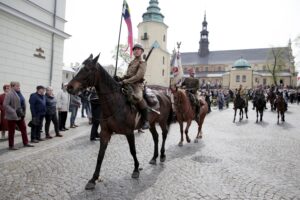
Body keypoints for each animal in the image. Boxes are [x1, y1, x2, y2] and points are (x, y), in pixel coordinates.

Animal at [67, 54, 172, 190]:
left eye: (87, 69)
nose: (69, 87)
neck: (114, 103)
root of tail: (164, 95)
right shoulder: (105, 133)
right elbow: (100, 155)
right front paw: (93, 179)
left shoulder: (129, 132)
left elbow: (133, 151)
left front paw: (136, 169)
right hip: (152, 124)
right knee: (156, 137)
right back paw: (154, 157)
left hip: (163, 122)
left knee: (164, 135)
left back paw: (162, 155)